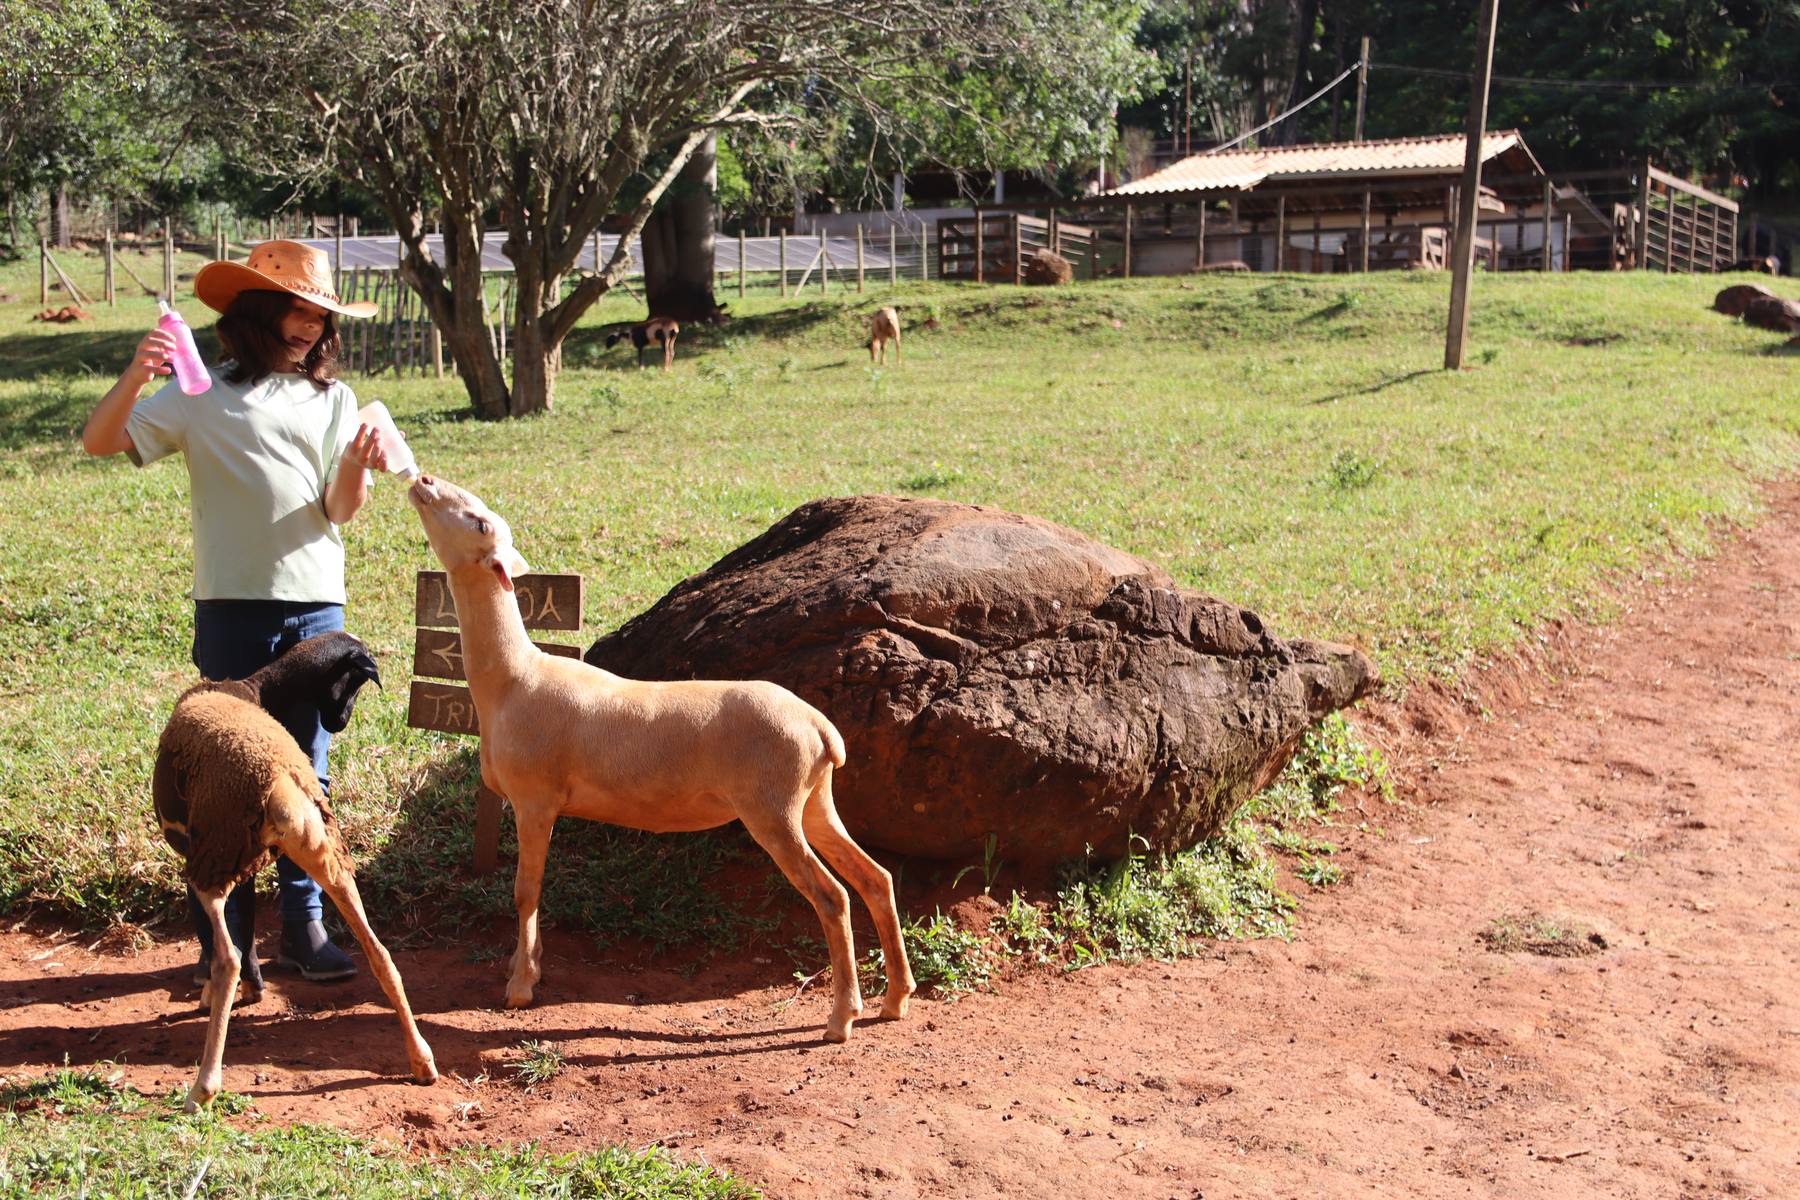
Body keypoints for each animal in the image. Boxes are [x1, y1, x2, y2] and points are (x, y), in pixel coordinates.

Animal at [153, 633, 437, 1110]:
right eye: (355, 682)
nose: (340, 722)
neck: (254, 688)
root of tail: (282, 780)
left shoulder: (199, 852)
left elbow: (224, 937)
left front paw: (216, 994)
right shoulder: (250, 868)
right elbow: (248, 923)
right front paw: (255, 990)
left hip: (213, 860)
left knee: (226, 958)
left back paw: (203, 1088)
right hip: (329, 858)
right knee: (380, 954)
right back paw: (422, 1061)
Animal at [405, 475, 915, 1043]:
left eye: (479, 523)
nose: (423, 480)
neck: (513, 679)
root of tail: (822, 730)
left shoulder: (535, 800)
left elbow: (524, 891)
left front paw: (519, 987)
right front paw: (527, 969)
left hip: (773, 809)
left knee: (832, 897)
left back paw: (841, 1017)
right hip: (814, 803)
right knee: (875, 878)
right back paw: (895, 999)